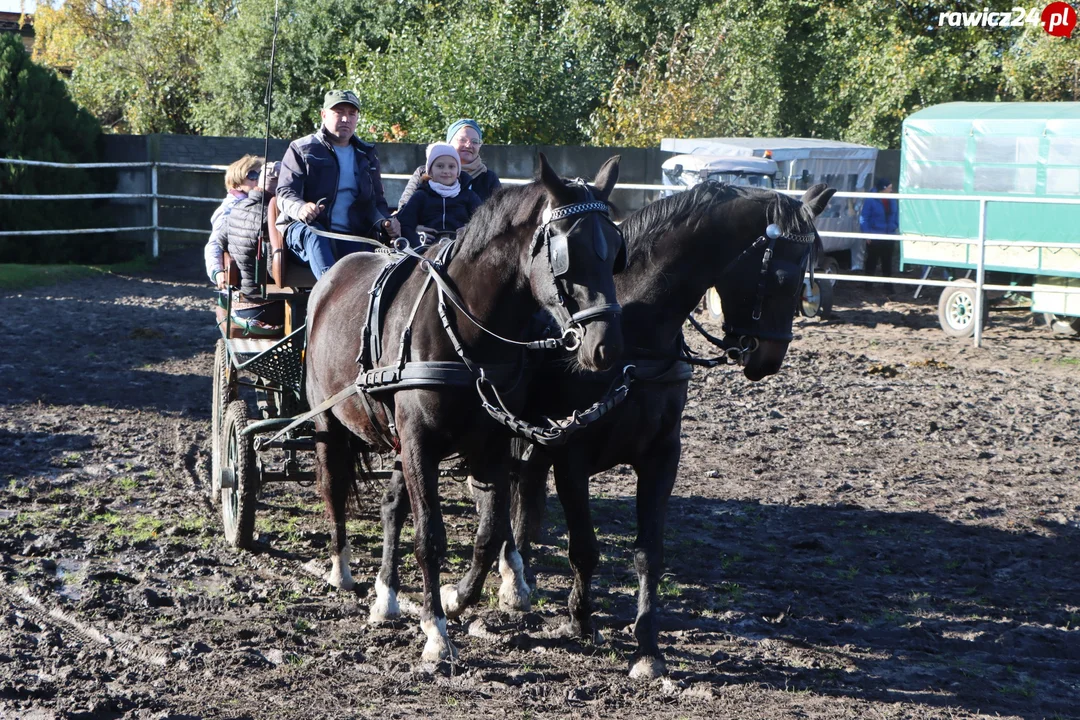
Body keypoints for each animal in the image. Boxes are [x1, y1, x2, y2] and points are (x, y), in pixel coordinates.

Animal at [304, 155, 626, 660]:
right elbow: (430, 538)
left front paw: (457, 598)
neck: (465, 327)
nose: (606, 347)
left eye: (614, 251)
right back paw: (341, 569)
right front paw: (436, 631)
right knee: (333, 485)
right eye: (567, 251)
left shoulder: (490, 442)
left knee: (393, 506)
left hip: (398, 438)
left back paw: (386, 596)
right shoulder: (420, 441)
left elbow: (489, 532)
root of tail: (332, 277)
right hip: (328, 421)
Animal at [501, 183, 838, 677]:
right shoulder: (571, 456)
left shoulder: (661, 455)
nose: (769, 359)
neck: (634, 337)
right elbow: (584, 546)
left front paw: (647, 647)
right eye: (780, 278)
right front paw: (581, 619)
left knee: (525, 491)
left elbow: (649, 553)